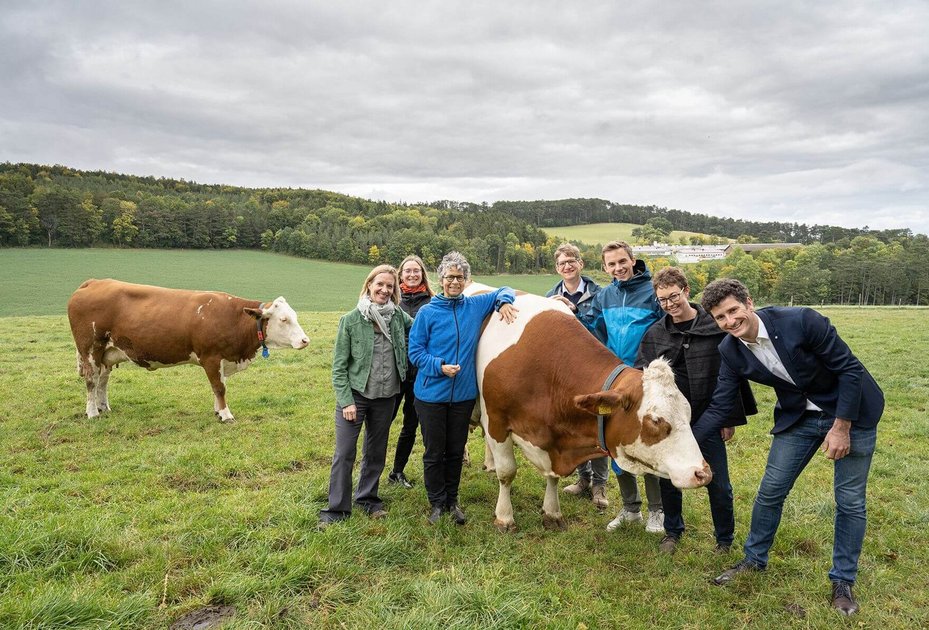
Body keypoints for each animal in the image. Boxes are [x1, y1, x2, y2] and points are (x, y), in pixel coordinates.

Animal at [67, 278, 312, 422]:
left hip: (106, 353)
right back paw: (92, 412)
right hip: (90, 348)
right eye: (283, 319)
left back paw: (103, 407)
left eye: (295, 316)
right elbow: (219, 387)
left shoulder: (222, 359)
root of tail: (94, 282)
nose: (305, 340)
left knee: (102, 380)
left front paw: (217, 410)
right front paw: (226, 414)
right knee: (91, 380)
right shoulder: (211, 357)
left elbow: (220, 385)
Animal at [472, 290, 712, 532]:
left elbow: (552, 478)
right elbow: (507, 472)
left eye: (688, 413)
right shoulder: (496, 421)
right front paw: (504, 517)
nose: (702, 473)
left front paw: (552, 513)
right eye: (655, 420)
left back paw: (489, 464)